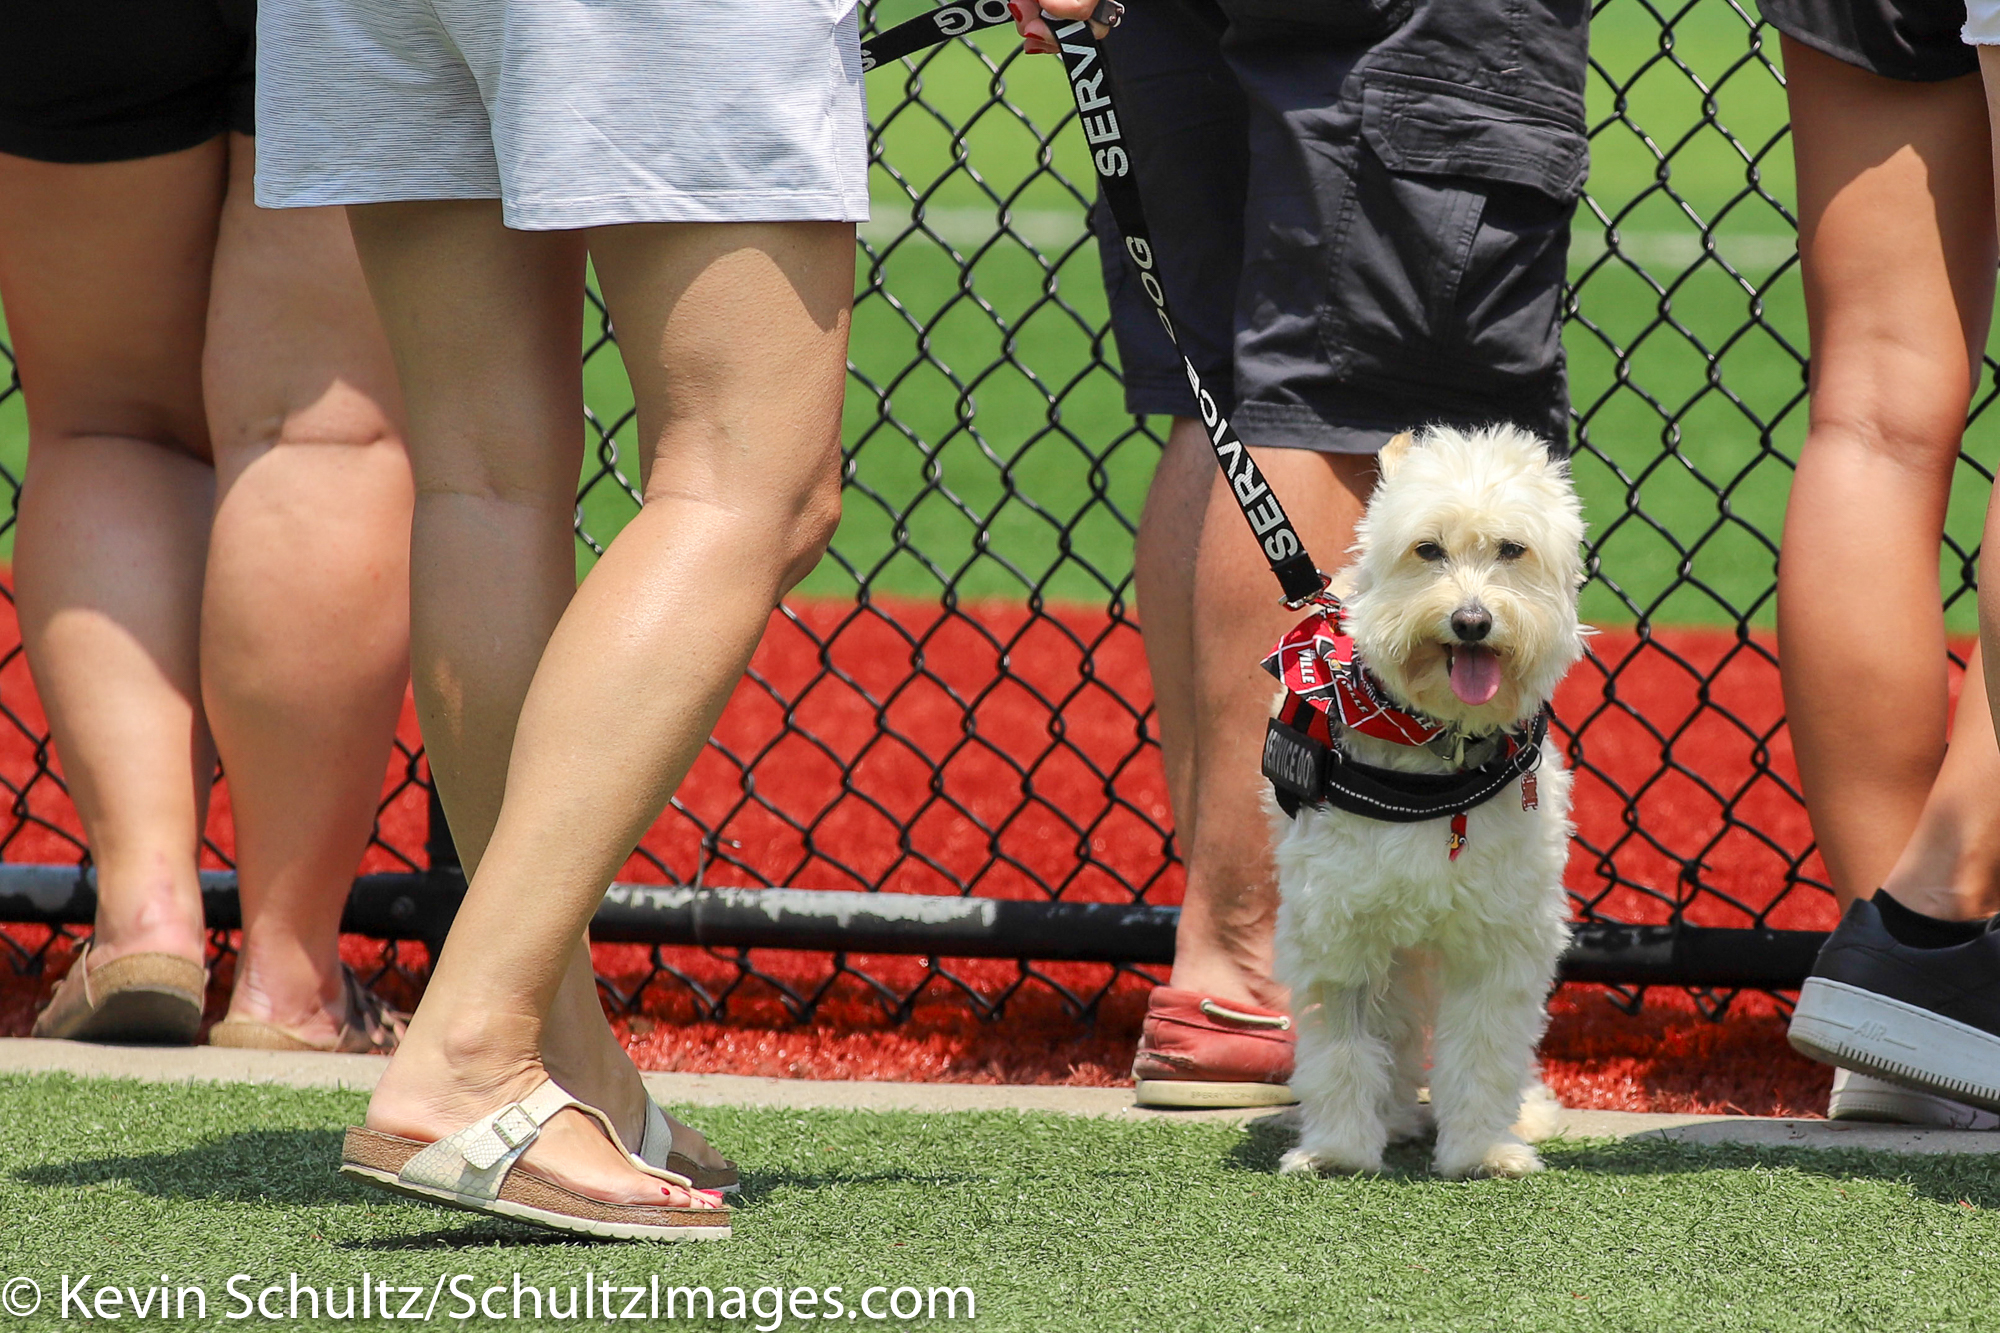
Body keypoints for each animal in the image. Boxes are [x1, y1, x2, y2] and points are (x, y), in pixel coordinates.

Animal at [1272, 422, 1584, 1176]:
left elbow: (1484, 1049)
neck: (1434, 743)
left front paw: (1480, 1148)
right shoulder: (1340, 923)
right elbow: (1345, 1045)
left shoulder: (1501, 931)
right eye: (1427, 549)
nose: (1471, 621)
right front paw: (1339, 1149)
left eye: (1512, 549)